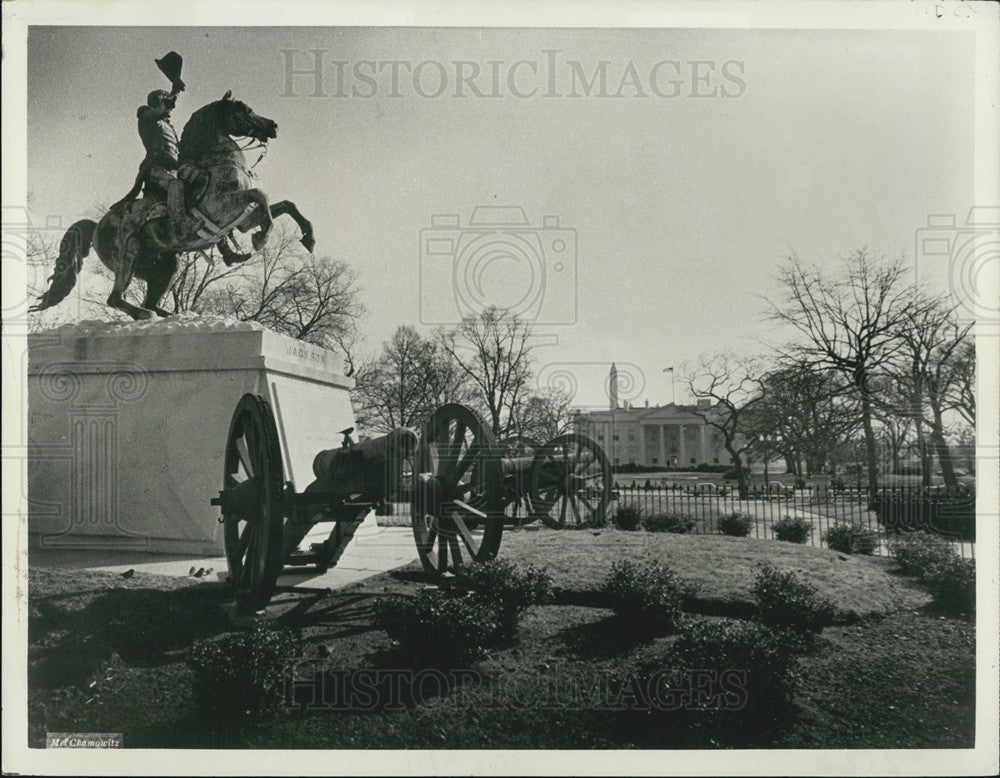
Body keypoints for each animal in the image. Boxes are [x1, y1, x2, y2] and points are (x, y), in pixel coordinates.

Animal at [30, 90, 312, 318]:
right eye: (243, 109)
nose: (273, 126)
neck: (220, 161)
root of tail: (98, 225)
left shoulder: (243, 219)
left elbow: (286, 205)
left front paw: (308, 238)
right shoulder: (224, 206)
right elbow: (262, 198)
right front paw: (260, 239)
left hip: (166, 264)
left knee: (150, 300)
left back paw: (174, 315)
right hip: (128, 255)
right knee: (116, 298)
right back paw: (146, 315)